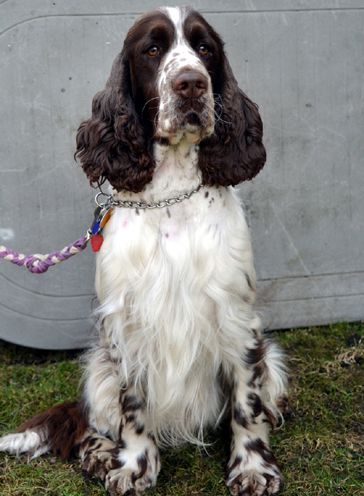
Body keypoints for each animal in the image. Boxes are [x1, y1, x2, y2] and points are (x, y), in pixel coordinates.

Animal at [0, 7, 288, 496]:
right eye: (152, 49)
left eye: (204, 47)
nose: (191, 83)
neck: (170, 193)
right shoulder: (126, 321)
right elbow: (131, 407)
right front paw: (134, 466)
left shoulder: (237, 317)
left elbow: (246, 407)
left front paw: (252, 468)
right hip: (97, 368)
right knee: (93, 423)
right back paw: (100, 454)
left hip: (272, 360)